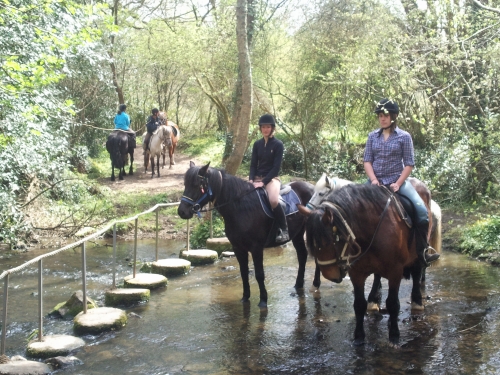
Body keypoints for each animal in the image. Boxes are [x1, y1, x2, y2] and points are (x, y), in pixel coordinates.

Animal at [178, 163, 322, 310]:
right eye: (185, 184)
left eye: (197, 185)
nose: (182, 211)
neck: (240, 207)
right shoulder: (238, 248)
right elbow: (243, 273)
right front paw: (245, 297)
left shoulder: (256, 248)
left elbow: (259, 274)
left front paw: (263, 300)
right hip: (297, 234)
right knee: (302, 255)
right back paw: (298, 284)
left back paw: (316, 283)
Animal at [296, 183, 434, 346]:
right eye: (312, 244)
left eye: (332, 239)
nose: (331, 276)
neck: (372, 228)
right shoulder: (356, 272)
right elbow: (358, 305)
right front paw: (359, 336)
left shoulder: (395, 270)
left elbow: (393, 303)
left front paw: (394, 336)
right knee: (377, 276)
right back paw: (373, 299)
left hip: (418, 254)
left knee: (418, 270)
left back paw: (417, 302)